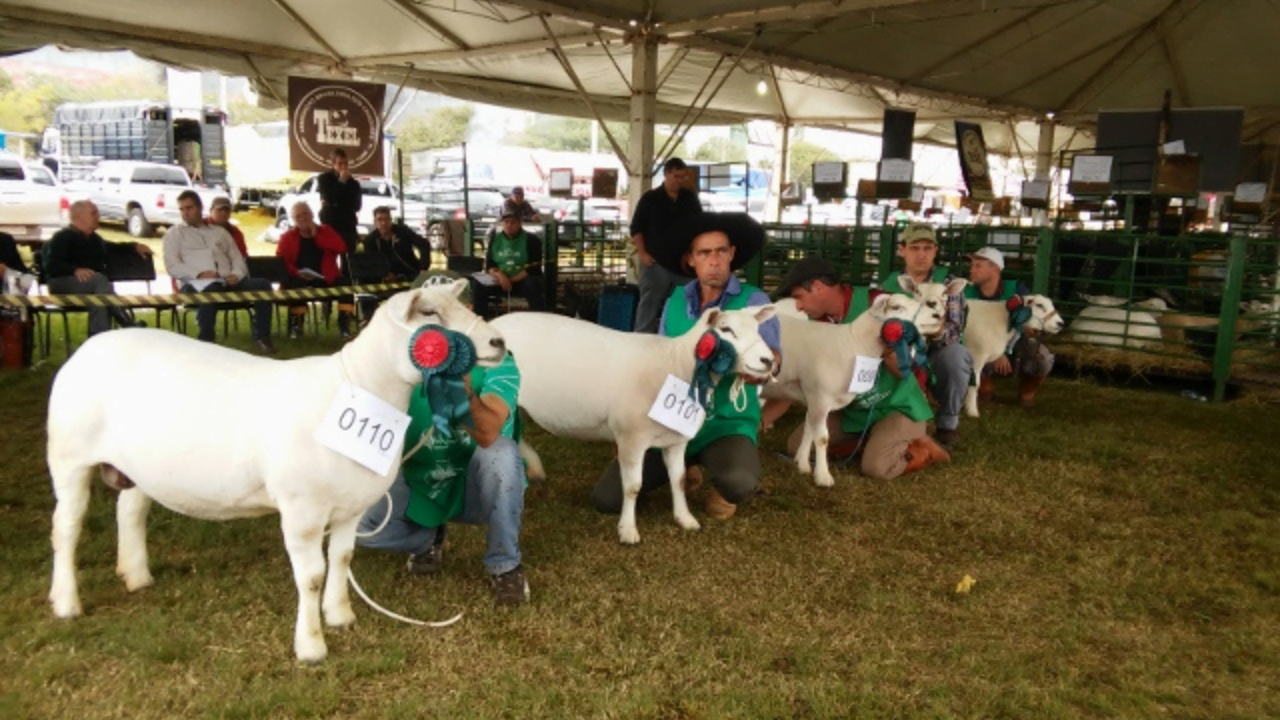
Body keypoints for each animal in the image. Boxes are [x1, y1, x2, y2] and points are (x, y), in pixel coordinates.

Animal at [43, 281, 499, 661]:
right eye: (430, 314)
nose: (497, 341)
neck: (360, 387)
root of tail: (91, 346)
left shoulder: (351, 504)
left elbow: (343, 557)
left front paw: (340, 616)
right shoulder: (302, 509)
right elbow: (312, 576)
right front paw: (311, 645)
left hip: (138, 465)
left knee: (130, 511)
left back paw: (136, 576)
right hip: (69, 456)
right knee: (66, 527)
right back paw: (66, 603)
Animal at [491, 303, 773, 543]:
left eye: (758, 329)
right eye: (726, 330)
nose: (769, 361)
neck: (675, 363)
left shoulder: (675, 439)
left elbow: (679, 479)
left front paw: (684, 518)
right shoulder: (631, 436)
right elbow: (632, 487)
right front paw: (627, 530)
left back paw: (532, 470)